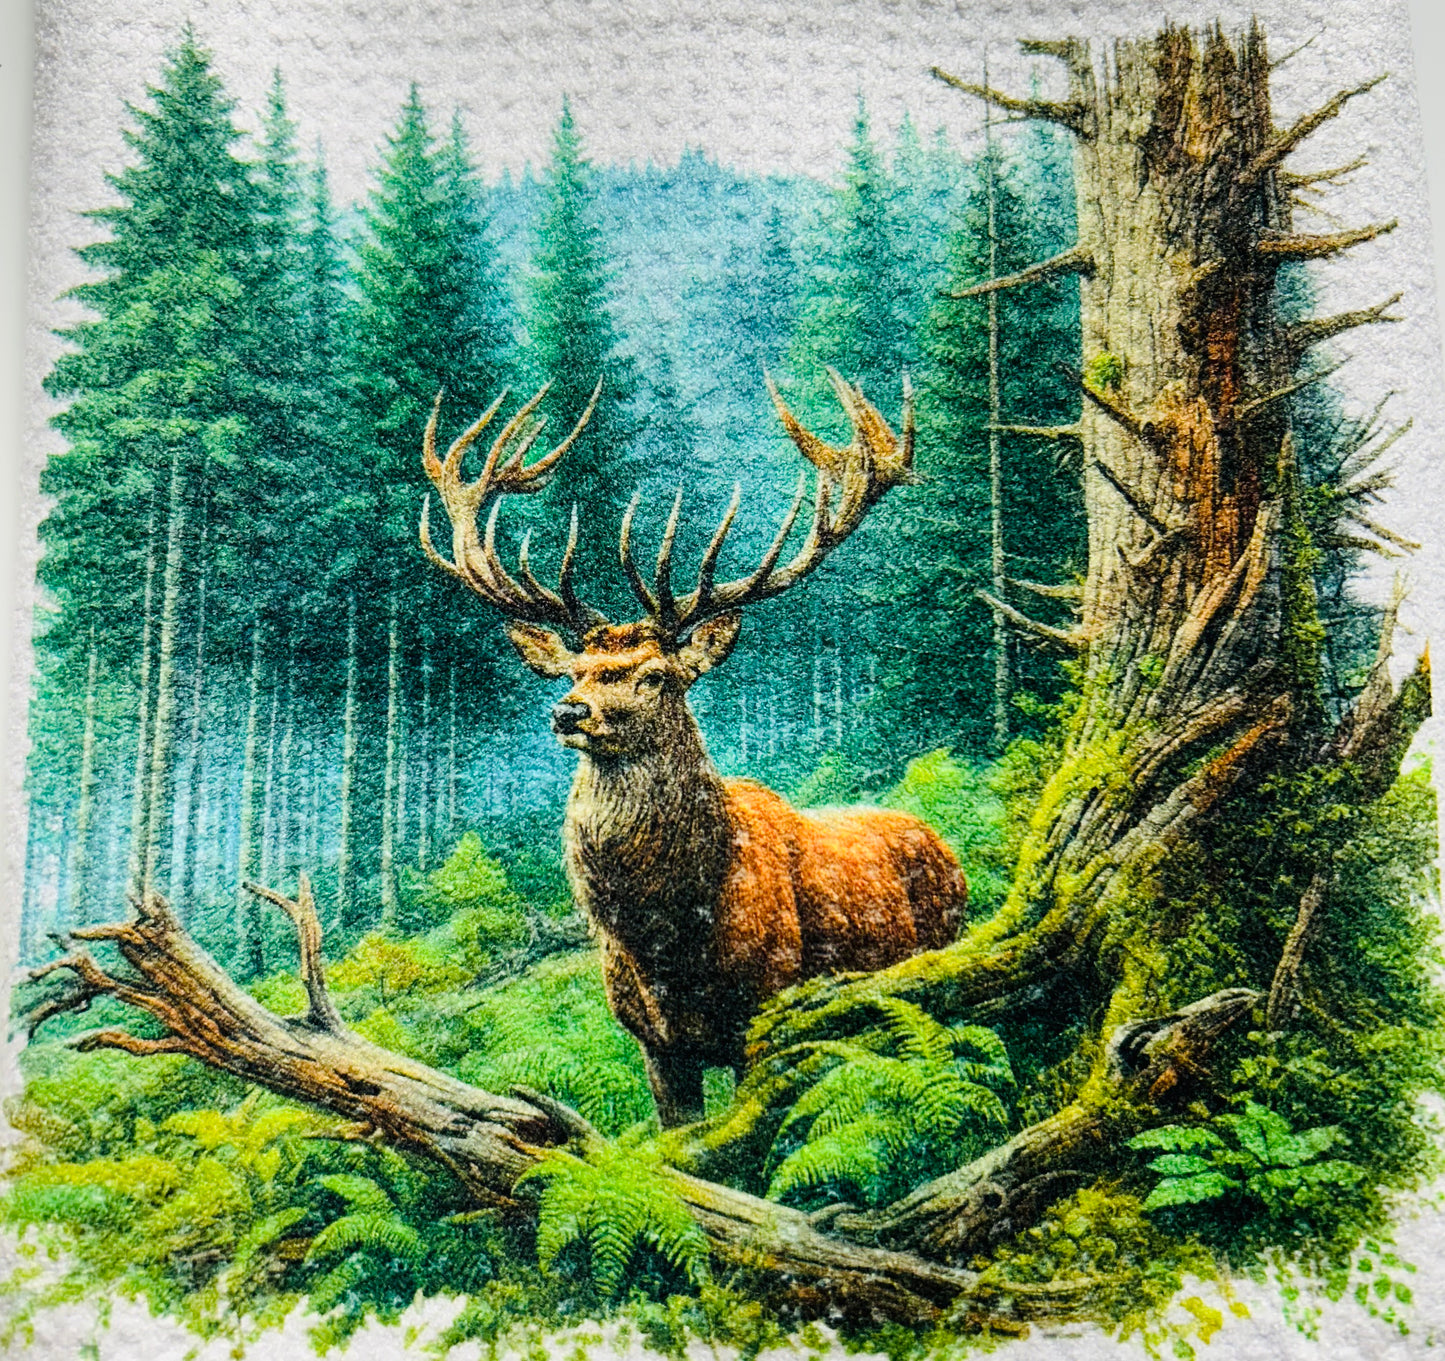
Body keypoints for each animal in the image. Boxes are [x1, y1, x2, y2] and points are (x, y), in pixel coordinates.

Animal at [419, 371, 968, 1126]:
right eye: (574, 672)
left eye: (655, 675)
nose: (568, 711)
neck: (668, 946)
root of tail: (945, 846)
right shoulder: (654, 1042)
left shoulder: (768, 1016)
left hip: (941, 956)